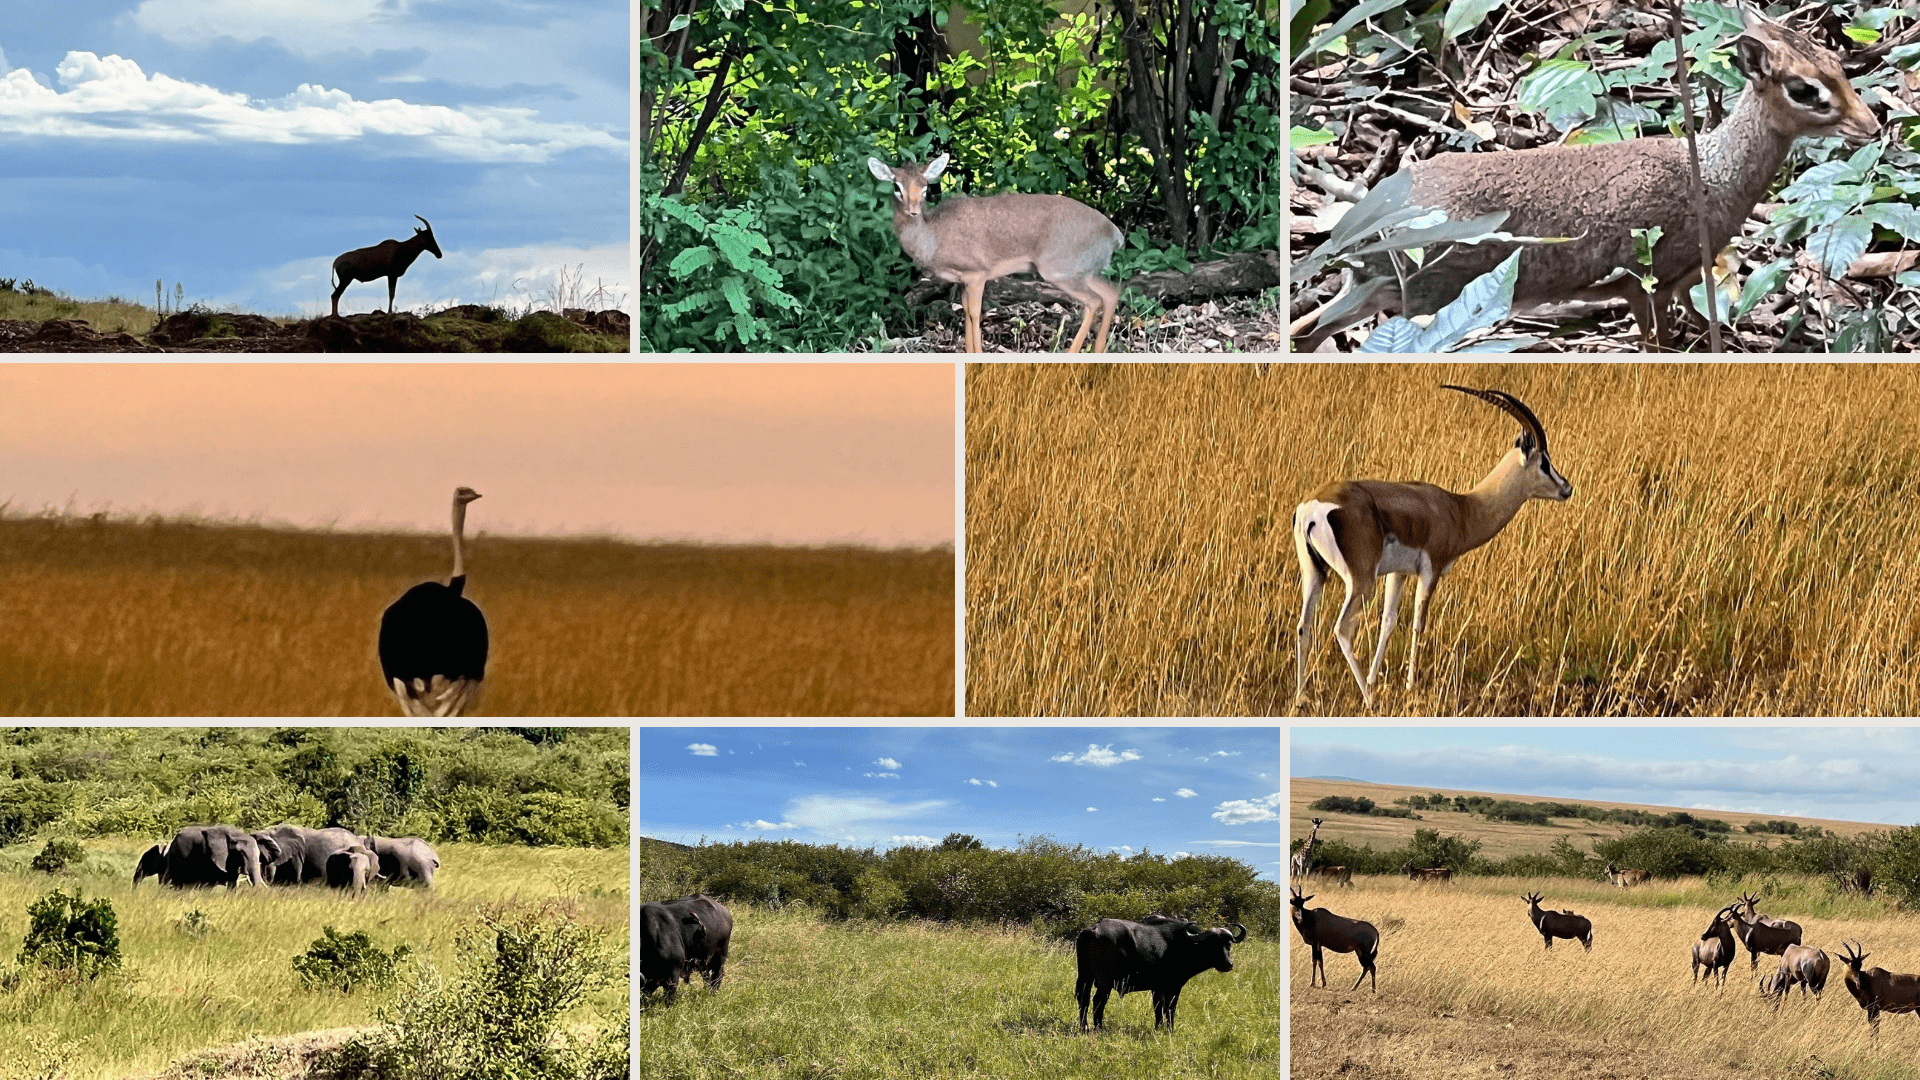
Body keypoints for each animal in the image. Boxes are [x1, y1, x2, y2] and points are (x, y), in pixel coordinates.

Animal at [1075, 910, 1251, 1030]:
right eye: (1213, 946)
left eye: (1228, 945)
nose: (1228, 964)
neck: (1183, 945)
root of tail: (1094, 929)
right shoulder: (1173, 987)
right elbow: (1169, 1009)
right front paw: (1170, 1029)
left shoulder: (1157, 988)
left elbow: (1158, 1009)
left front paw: (1158, 1028)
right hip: (1104, 981)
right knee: (1098, 1001)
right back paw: (1098, 1027)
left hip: (1085, 976)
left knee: (1083, 998)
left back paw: (1085, 1027)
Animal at [1290, 384, 1574, 707]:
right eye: (1544, 462)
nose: (1567, 488)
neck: (1459, 508)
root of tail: (1312, 508)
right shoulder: (1431, 571)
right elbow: (1418, 623)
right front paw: (1409, 686)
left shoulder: (1398, 573)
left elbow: (1388, 621)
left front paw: (1377, 680)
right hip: (1361, 582)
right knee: (1342, 628)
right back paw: (1368, 699)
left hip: (1314, 574)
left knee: (1304, 625)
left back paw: (1302, 698)